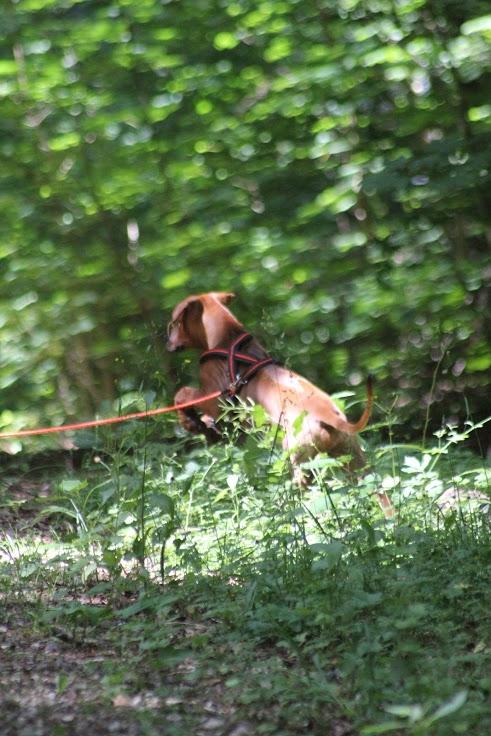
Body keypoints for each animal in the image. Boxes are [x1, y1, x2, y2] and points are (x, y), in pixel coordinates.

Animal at [167, 290, 394, 516]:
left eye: (173, 324)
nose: (165, 341)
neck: (226, 338)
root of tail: (331, 415)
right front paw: (204, 426)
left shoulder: (214, 398)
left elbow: (182, 394)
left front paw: (189, 421)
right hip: (353, 460)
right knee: (378, 492)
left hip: (301, 461)